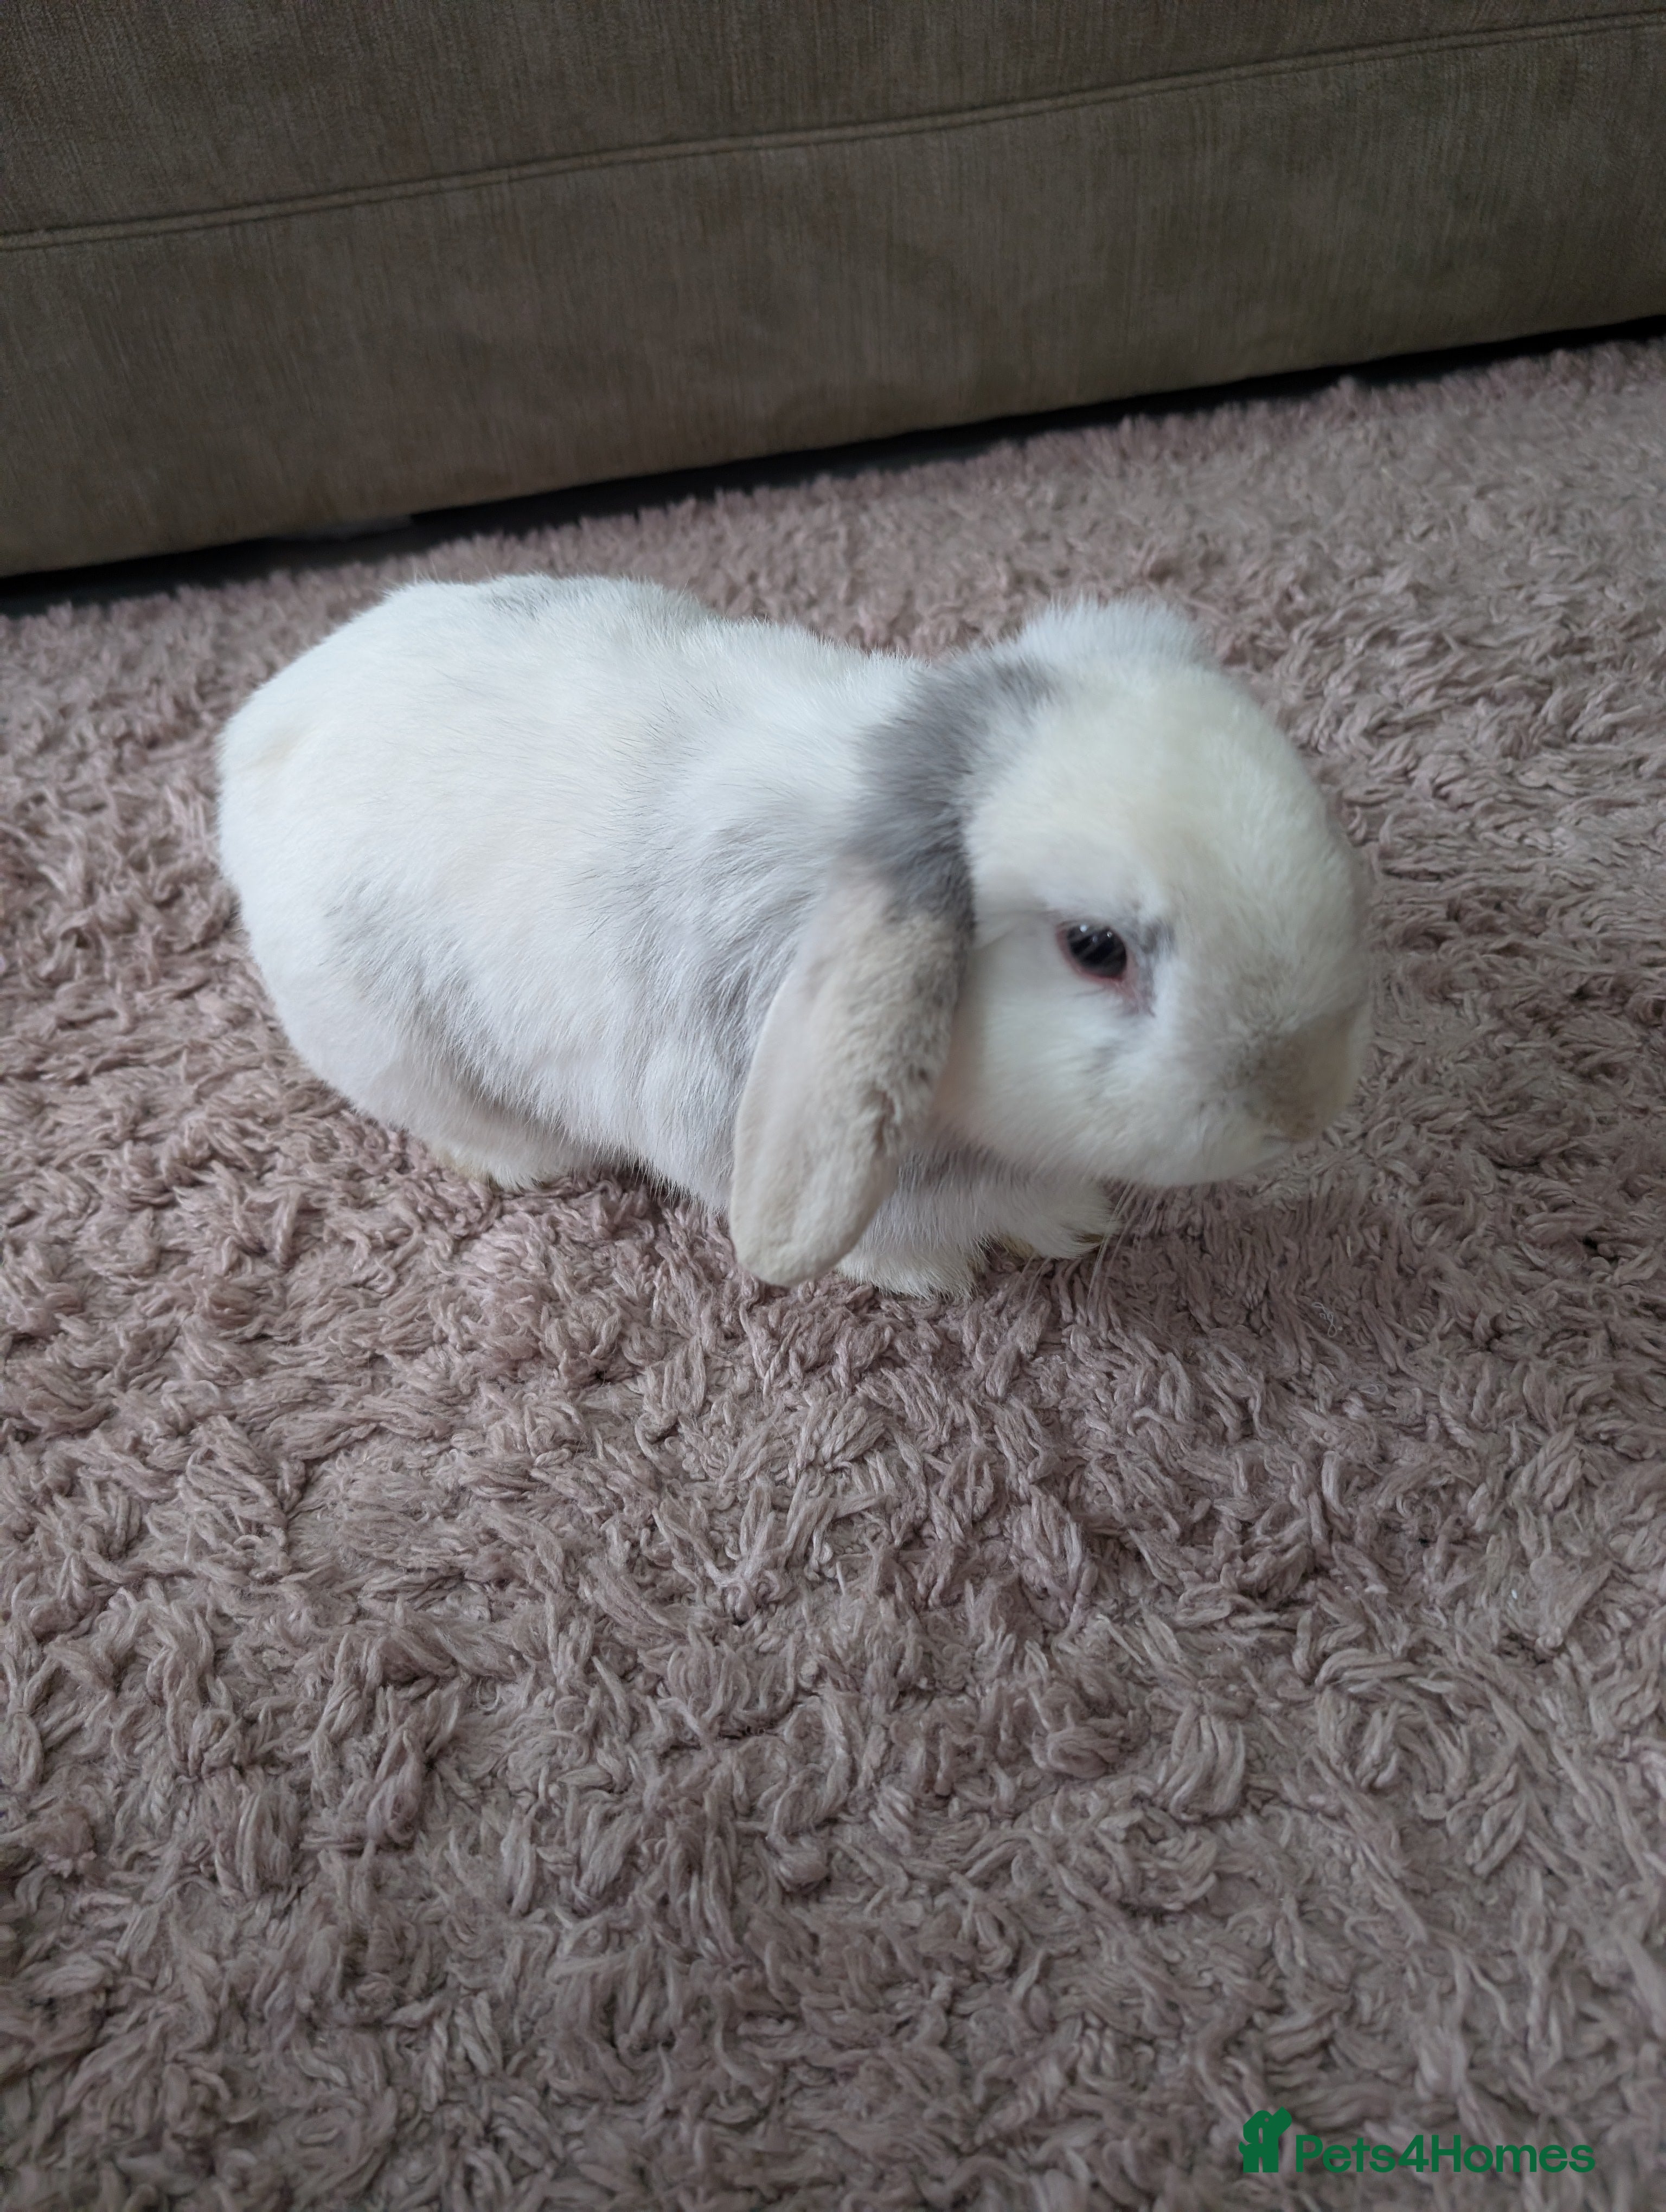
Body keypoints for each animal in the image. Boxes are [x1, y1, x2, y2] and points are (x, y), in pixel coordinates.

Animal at [217, 574, 1370, 1294]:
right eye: (1095, 948)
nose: (1301, 1109)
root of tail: (259, 731)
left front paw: (1069, 1221)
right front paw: (935, 1276)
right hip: (394, 1052)